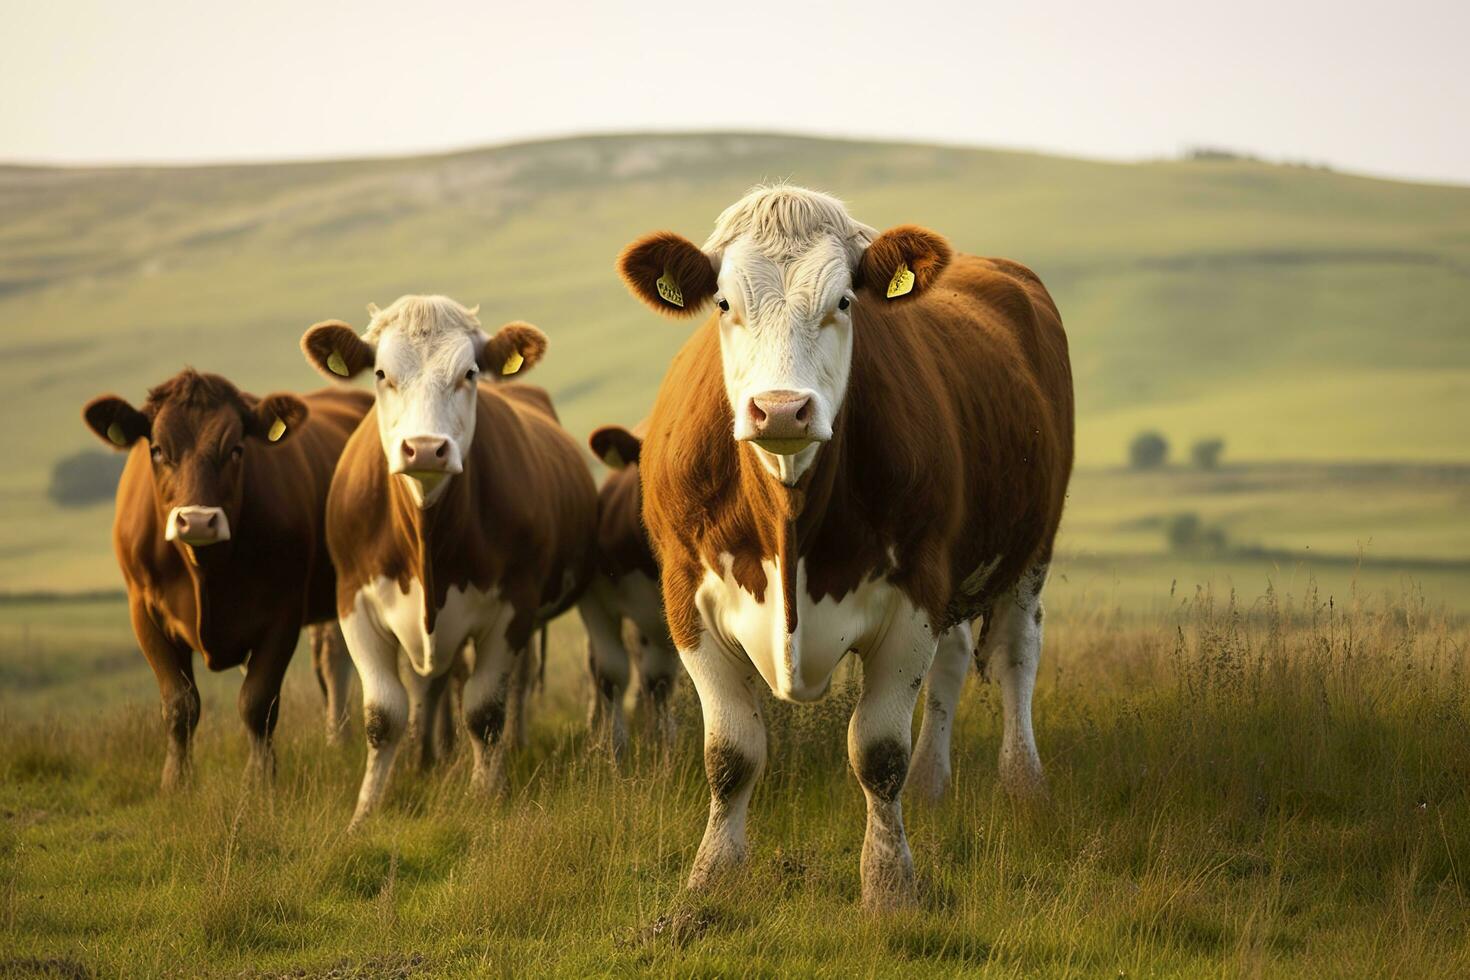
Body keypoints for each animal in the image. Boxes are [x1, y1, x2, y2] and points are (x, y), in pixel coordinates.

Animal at [80, 371, 373, 787]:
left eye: (236, 449)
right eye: (157, 450)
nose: (198, 521)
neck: (206, 573)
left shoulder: (282, 613)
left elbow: (257, 702)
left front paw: (260, 781)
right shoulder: (144, 611)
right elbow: (179, 704)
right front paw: (176, 783)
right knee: (335, 658)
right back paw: (338, 741)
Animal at [298, 293, 596, 828]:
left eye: (470, 373)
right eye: (381, 373)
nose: (424, 449)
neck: (425, 539)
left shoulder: (513, 608)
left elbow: (485, 711)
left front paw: (487, 795)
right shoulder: (353, 603)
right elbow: (383, 715)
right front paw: (366, 811)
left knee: (511, 686)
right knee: (429, 686)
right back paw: (426, 757)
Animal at [614, 185, 1076, 910]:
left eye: (843, 302)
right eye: (723, 304)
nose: (780, 409)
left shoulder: (915, 594)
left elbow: (878, 752)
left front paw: (889, 886)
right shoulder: (687, 598)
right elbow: (731, 753)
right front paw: (712, 878)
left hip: (1032, 552)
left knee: (1016, 658)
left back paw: (1025, 785)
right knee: (952, 666)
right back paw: (932, 786)